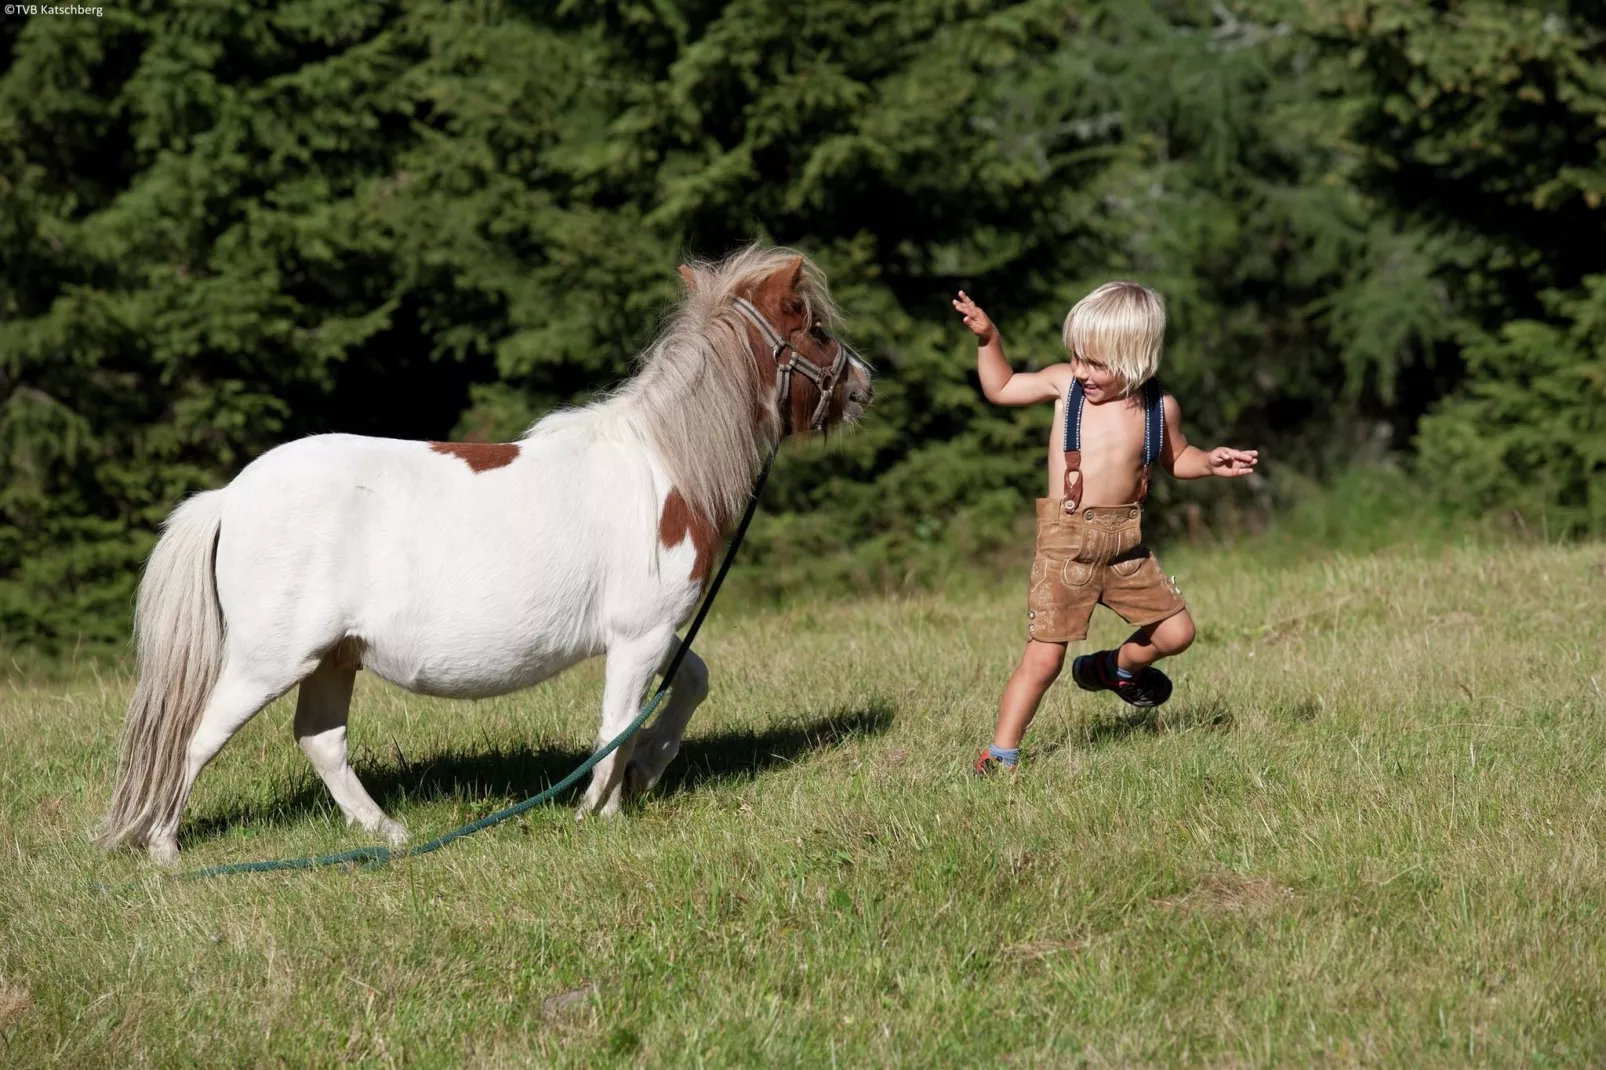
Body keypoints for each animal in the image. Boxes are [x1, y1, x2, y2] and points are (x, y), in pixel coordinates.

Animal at [97, 240, 880, 861]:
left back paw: (389, 834)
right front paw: (600, 809)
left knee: (320, 740)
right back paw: (165, 848)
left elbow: (690, 684)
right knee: (197, 738)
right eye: (813, 328)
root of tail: (230, 497)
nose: (865, 384)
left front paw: (647, 770)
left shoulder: (655, 632)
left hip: (332, 658)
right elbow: (617, 724)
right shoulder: (640, 635)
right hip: (269, 660)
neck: (666, 465)